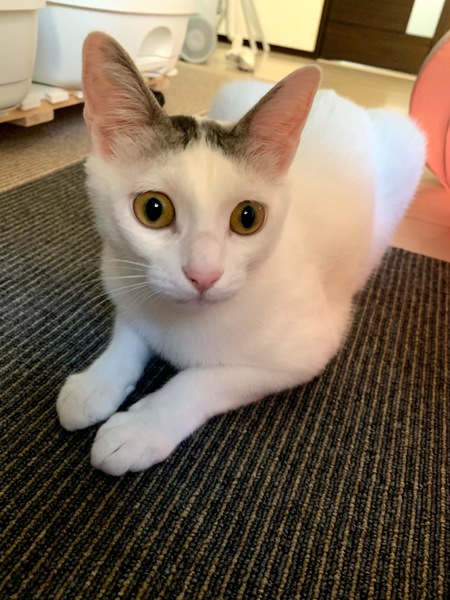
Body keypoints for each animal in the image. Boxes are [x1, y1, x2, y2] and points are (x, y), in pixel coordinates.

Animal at [57, 31, 425, 476]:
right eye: (153, 209)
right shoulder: (123, 277)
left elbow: (203, 380)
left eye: (248, 217)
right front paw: (96, 383)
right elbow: (129, 333)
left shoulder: (307, 352)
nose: (203, 275)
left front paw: (142, 427)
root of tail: (338, 93)